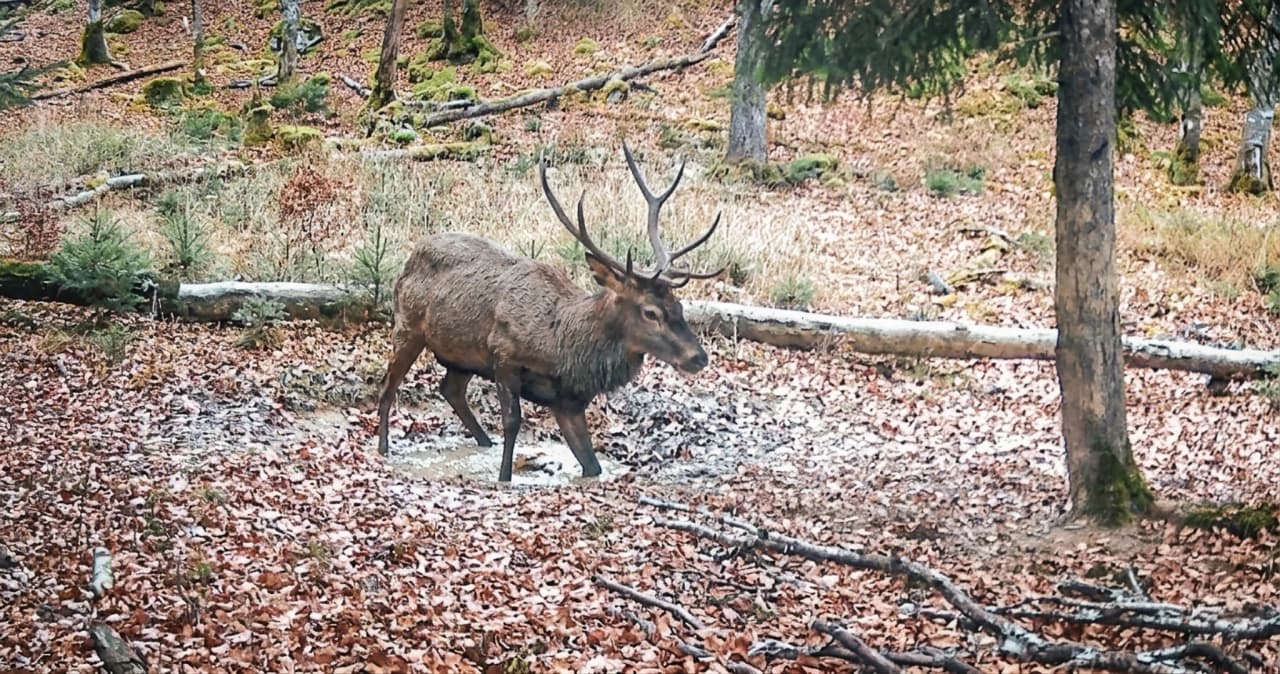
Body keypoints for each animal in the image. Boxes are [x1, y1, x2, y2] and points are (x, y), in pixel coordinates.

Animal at [375, 142, 724, 482]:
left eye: (679, 305)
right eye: (651, 312)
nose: (698, 357)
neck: (563, 347)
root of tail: (412, 252)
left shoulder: (568, 401)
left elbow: (591, 465)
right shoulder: (503, 356)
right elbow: (513, 421)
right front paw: (504, 477)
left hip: (461, 356)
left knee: (451, 390)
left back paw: (483, 442)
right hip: (407, 326)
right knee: (389, 385)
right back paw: (383, 448)